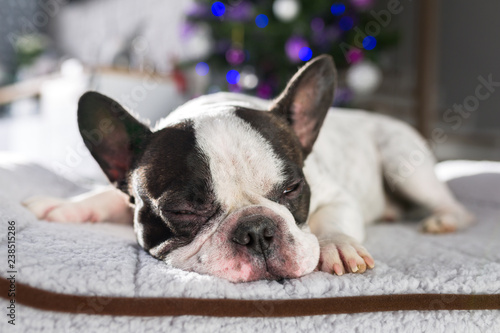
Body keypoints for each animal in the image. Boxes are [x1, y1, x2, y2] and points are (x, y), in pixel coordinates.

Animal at [22, 55, 472, 282]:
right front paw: (66, 207)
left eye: (293, 190)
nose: (257, 231)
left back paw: (444, 220)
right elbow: (106, 195)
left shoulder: (337, 195)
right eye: (182, 211)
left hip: (402, 162)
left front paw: (337, 246)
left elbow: (333, 220)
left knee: (452, 203)